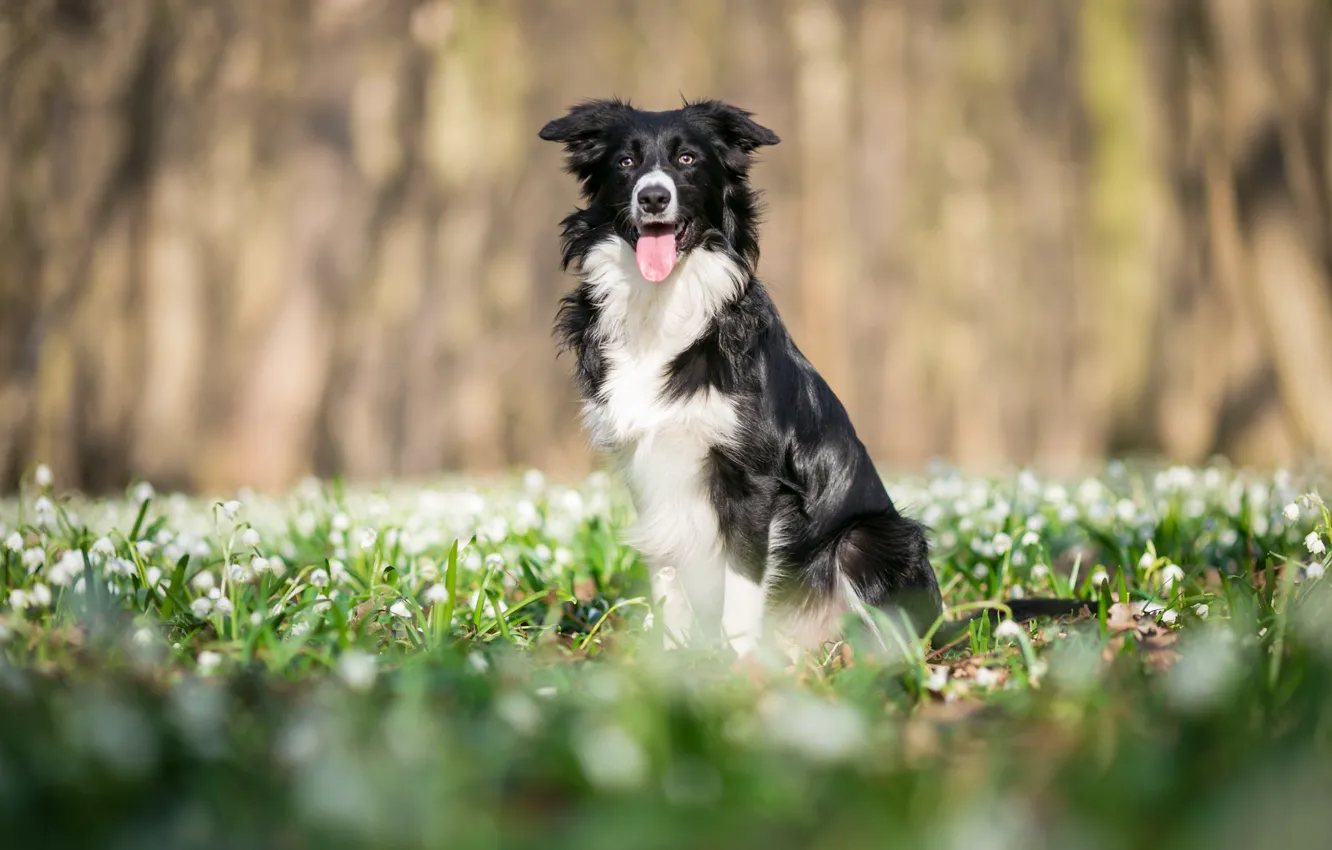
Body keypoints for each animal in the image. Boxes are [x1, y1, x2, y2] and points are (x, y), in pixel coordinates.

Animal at [535, 98, 1086, 660]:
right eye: (625, 162)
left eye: (687, 158)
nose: (652, 196)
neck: (662, 306)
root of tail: (941, 624)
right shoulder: (648, 470)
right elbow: (667, 577)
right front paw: (669, 662)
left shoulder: (752, 479)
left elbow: (741, 586)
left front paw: (734, 665)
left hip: (870, 539)